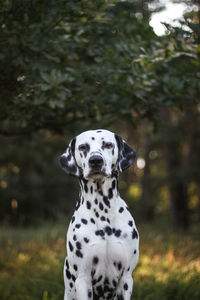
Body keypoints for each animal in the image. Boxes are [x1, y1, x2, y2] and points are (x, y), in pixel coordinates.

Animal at [59, 129, 139, 300]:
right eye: (83, 147)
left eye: (108, 144)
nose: (96, 160)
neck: (103, 210)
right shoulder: (83, 279)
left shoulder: (126, 279)